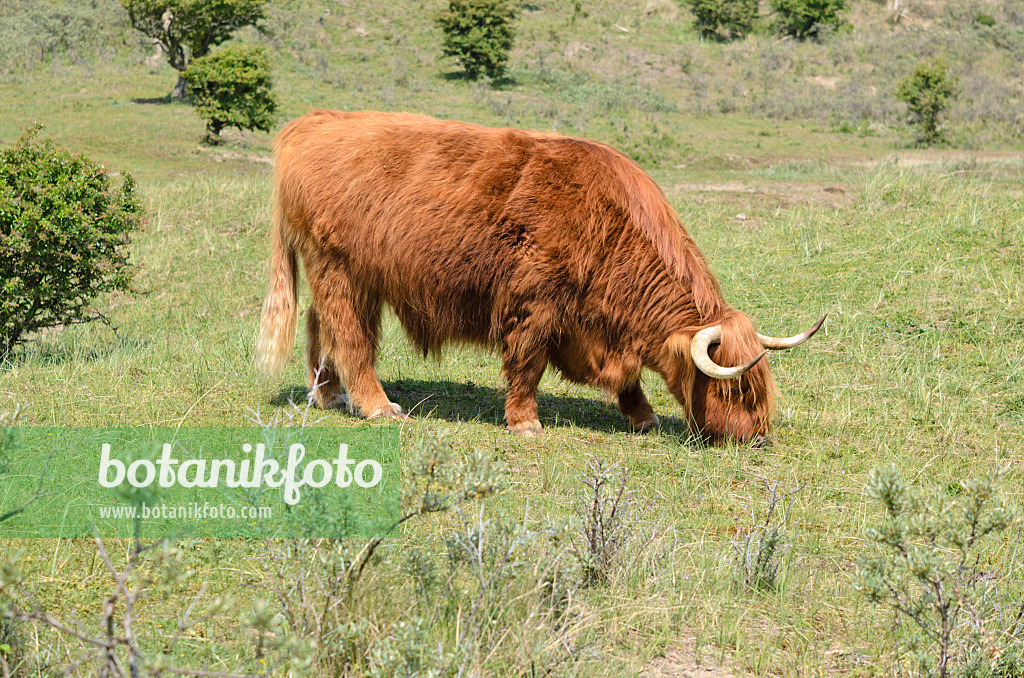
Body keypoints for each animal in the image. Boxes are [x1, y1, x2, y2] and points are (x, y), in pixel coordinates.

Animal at [256, 111, 823, 446]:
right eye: (736, 390)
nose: (759, 437)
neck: (609, 226)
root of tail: (312, 121)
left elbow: (630, 377)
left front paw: (643, 416)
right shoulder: (534, 303)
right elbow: (527, 365)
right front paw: (525, 421)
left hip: (345, 273)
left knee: (319, 325)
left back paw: (328, 396)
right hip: (340, 268)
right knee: (349, 335)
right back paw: (377, 406)